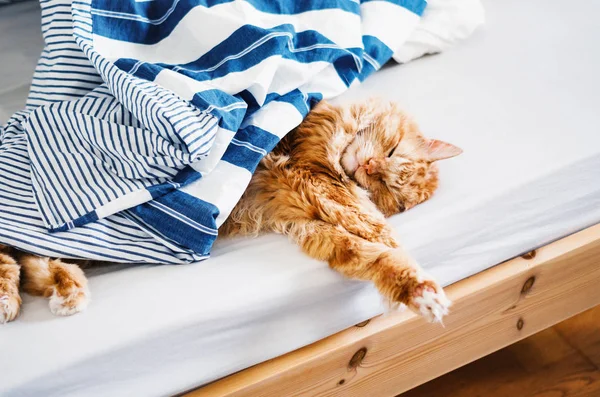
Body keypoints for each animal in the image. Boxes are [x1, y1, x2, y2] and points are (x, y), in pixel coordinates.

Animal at [0, 98, 462, 322]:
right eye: (392, 150)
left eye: (391, 191)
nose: (369, 168)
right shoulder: (311, 172)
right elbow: (373, 230)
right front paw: (391, 240)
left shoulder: (305, 219)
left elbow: (375, 257)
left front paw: (419, 292)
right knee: (15, 260)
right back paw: (12, 301)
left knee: (34, 265)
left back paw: (66, 295)